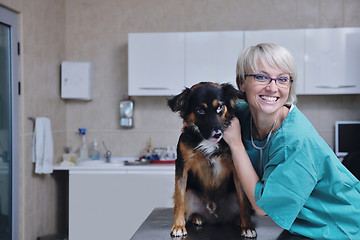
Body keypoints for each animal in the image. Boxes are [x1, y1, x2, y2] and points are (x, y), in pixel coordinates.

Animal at [168, 81, 256, 237]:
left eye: (220, 107)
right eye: (200, 110)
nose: (217, 134)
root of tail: (215, 214)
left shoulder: (237, 166)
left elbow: (244, 202)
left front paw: (247, 227)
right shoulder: (181, 165)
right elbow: (179, 199)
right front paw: (178, 226)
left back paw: (239, 219)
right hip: (190, 192)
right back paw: (197, 217)